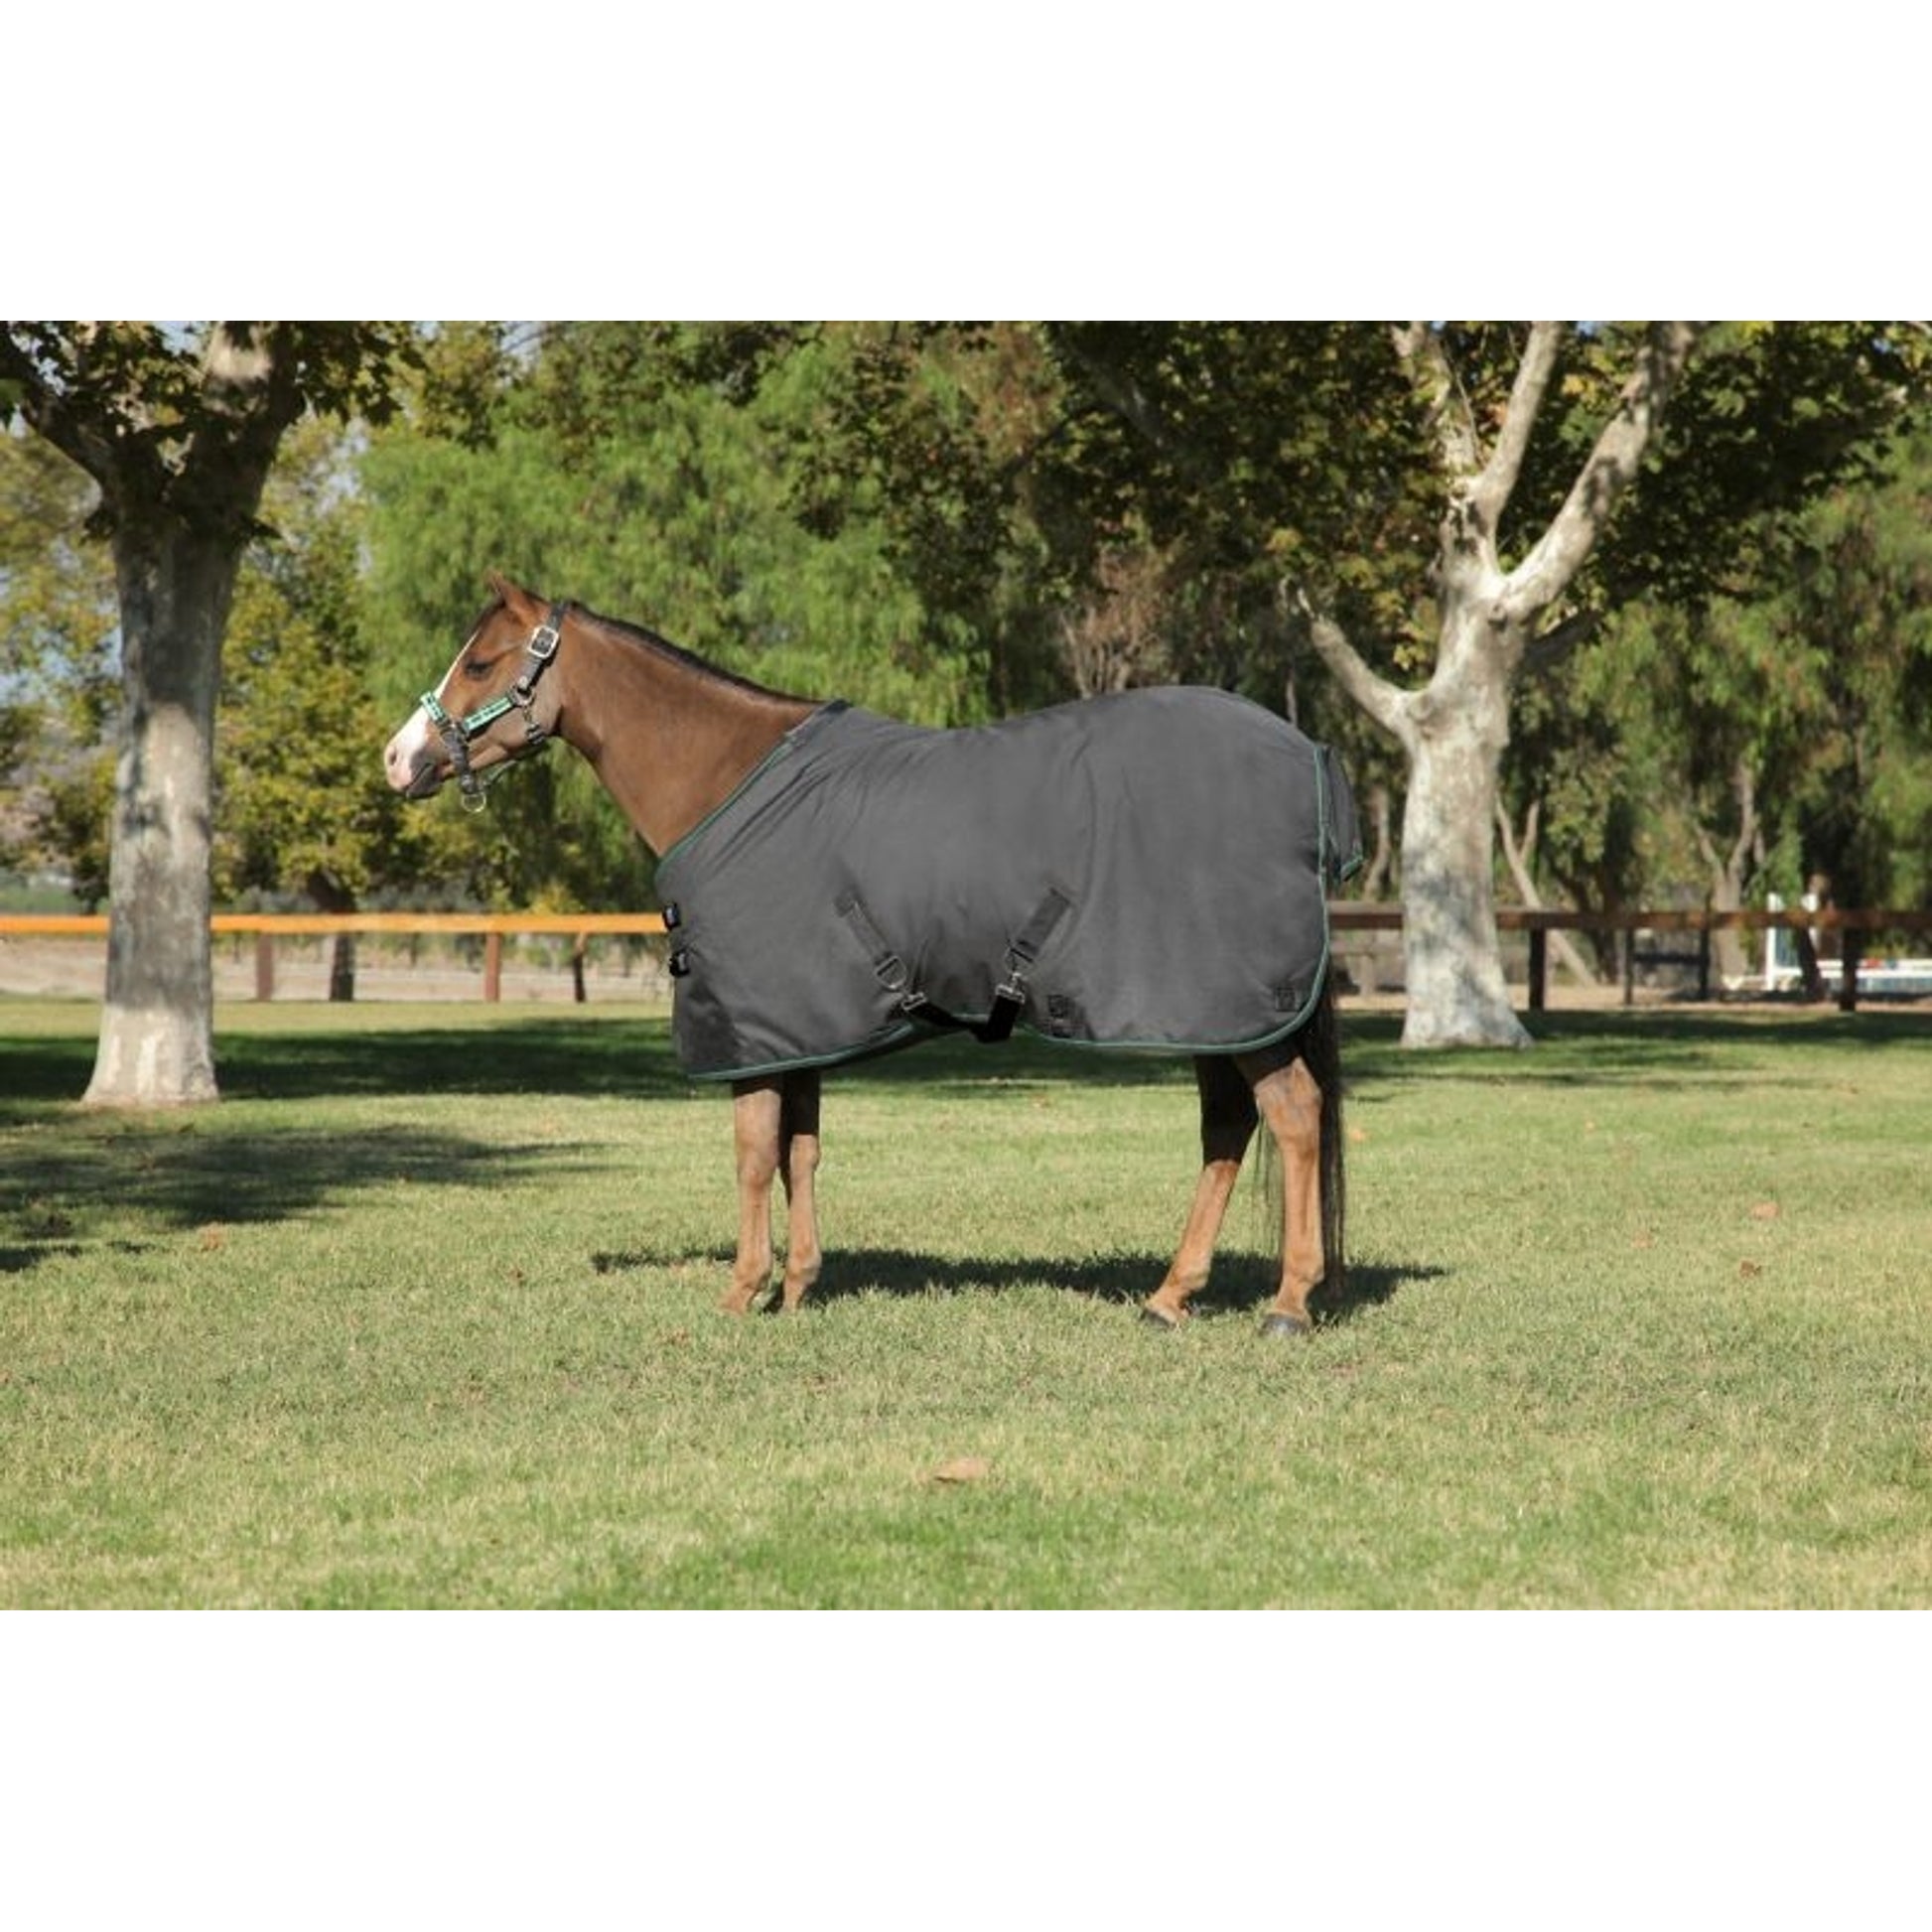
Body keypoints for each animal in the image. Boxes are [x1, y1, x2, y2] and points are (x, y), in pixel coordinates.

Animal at [383, 575, 1360, 1336]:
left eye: (480, 664)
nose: (398, 759)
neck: (729, 781)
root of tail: (1309, 757)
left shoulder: (752, 1027)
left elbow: (753, 1153)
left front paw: (741, 1294)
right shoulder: (798, 1027)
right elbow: (801, 1150)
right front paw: (797, 1289)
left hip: (1235, 1008)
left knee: (1295, 1117)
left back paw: (1288, 1304)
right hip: (1214, 1015)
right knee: (1228, 1129)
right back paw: (1169, 1296)